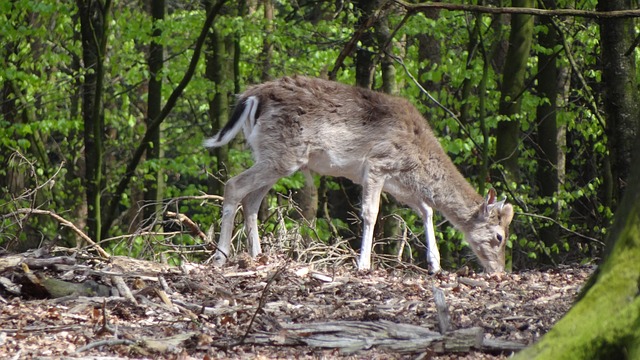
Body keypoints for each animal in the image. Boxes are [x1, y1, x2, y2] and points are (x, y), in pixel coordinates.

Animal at [205, 75, 516, 272]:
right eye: (499, 236)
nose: (499, 270)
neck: (417, 161)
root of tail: (250, 96)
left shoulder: (399, 183)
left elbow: (427, 209)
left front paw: (435, 265)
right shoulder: (378, 164)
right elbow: (370, 213)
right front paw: (363, 264)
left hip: (271, 155)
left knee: (252, 200)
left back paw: (257, 255)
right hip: (282, 155)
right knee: (233, 185)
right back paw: (220, 257)